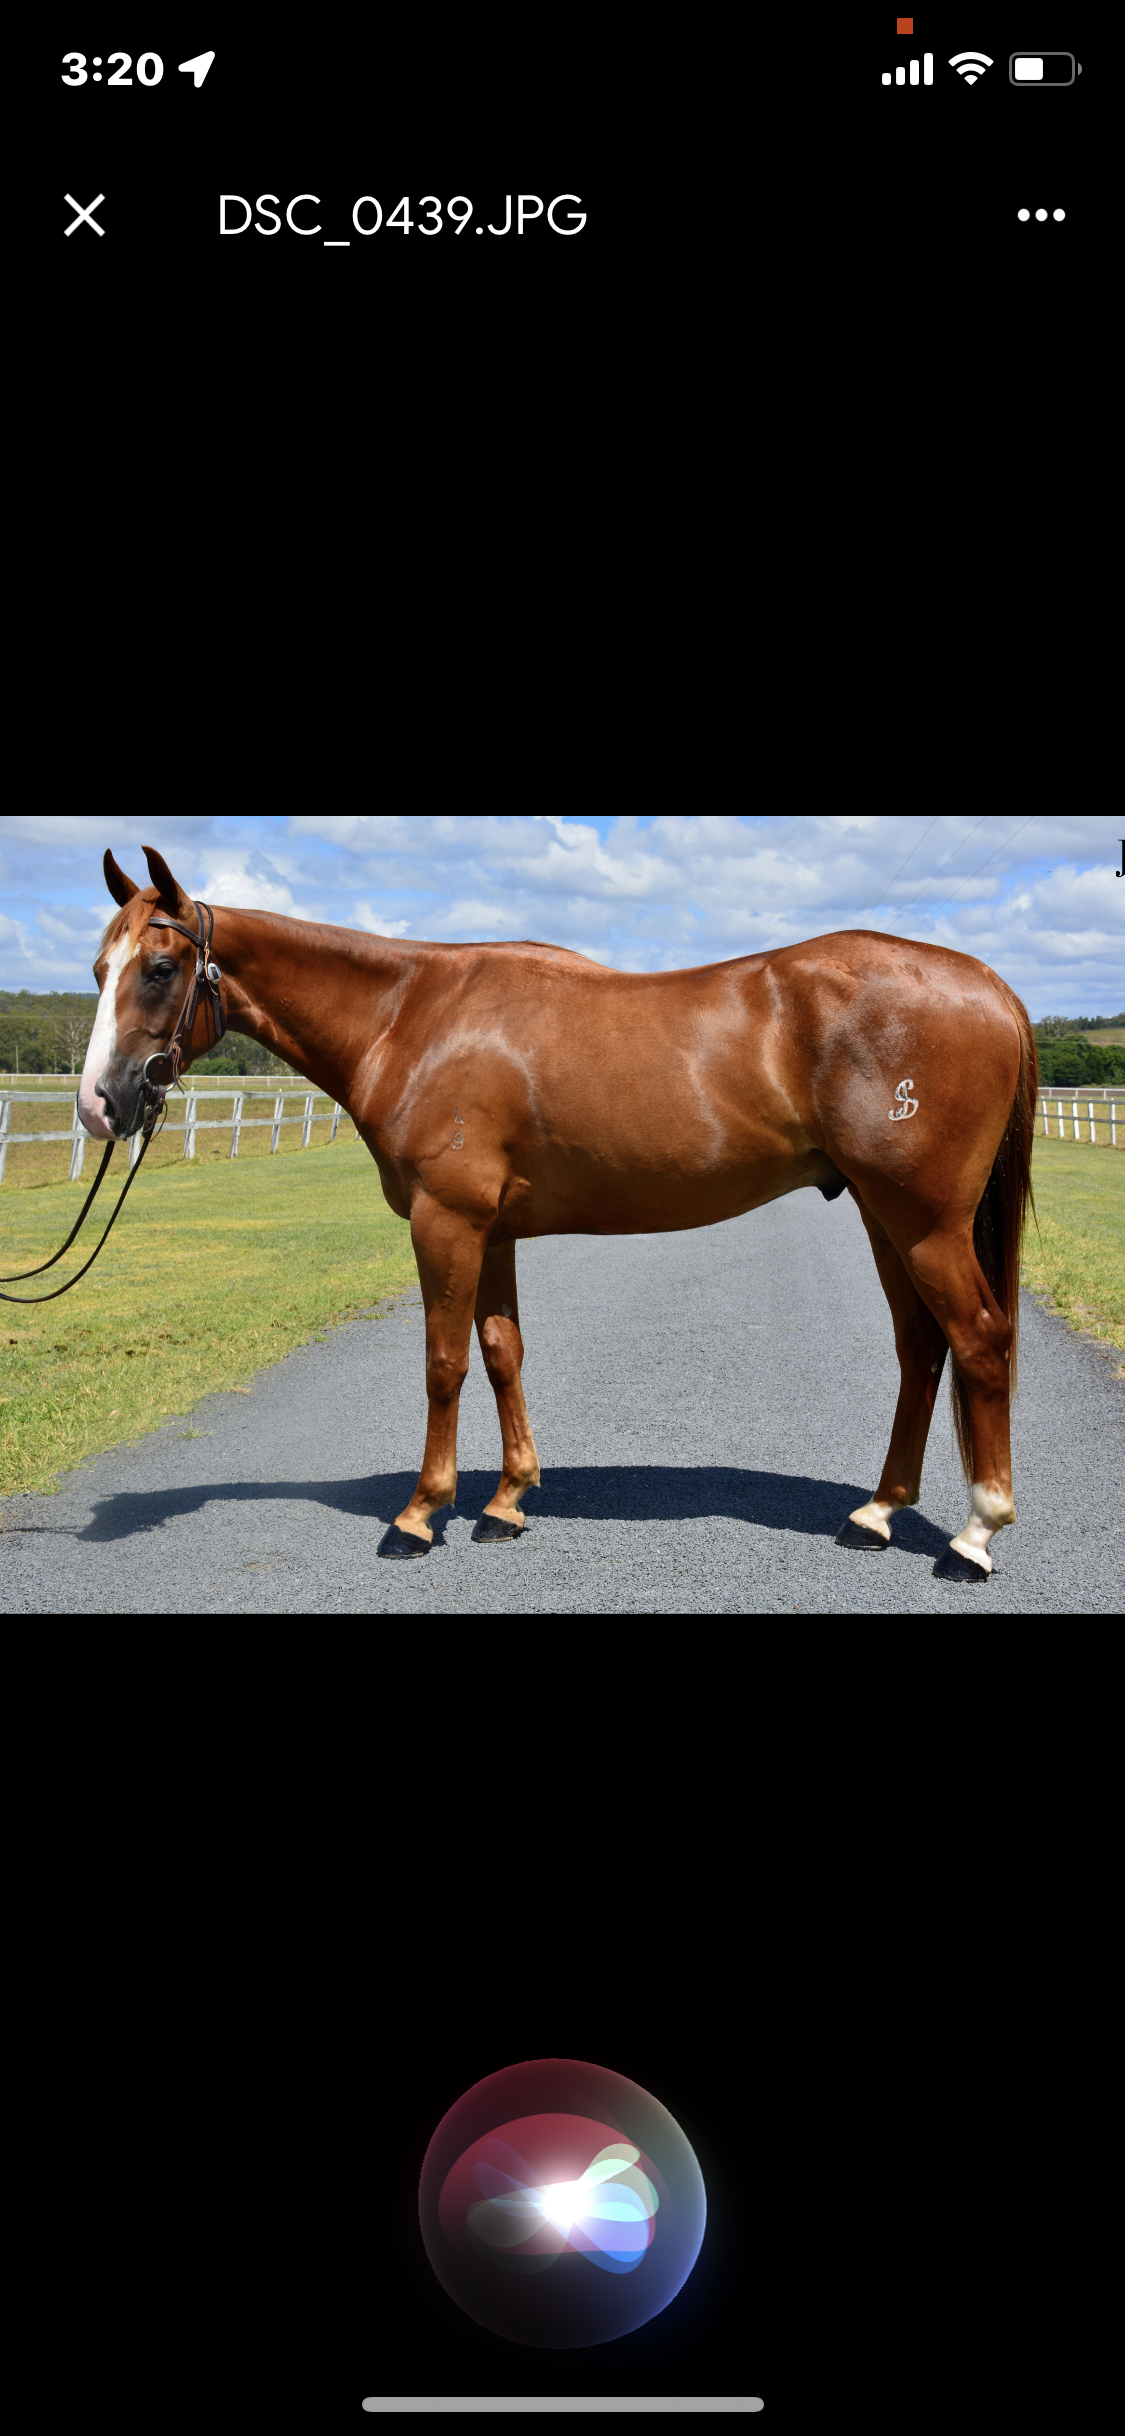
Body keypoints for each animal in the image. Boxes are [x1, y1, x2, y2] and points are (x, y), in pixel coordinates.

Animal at [78, 844, 1037, 1582]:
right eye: (97, 971)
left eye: (159, 969)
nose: (99, 1105)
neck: (410, 1016)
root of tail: (987, 982)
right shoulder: (491, 1229)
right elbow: (502, 1353)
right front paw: (505, 1502)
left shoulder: (445, 1222)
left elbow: (443, 1364)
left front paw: (418, 1516)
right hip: (884, 1217)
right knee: (921, 1349)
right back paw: (875, 1514)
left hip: (923, 1223)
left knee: (979, 1342)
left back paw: (973, 1537)